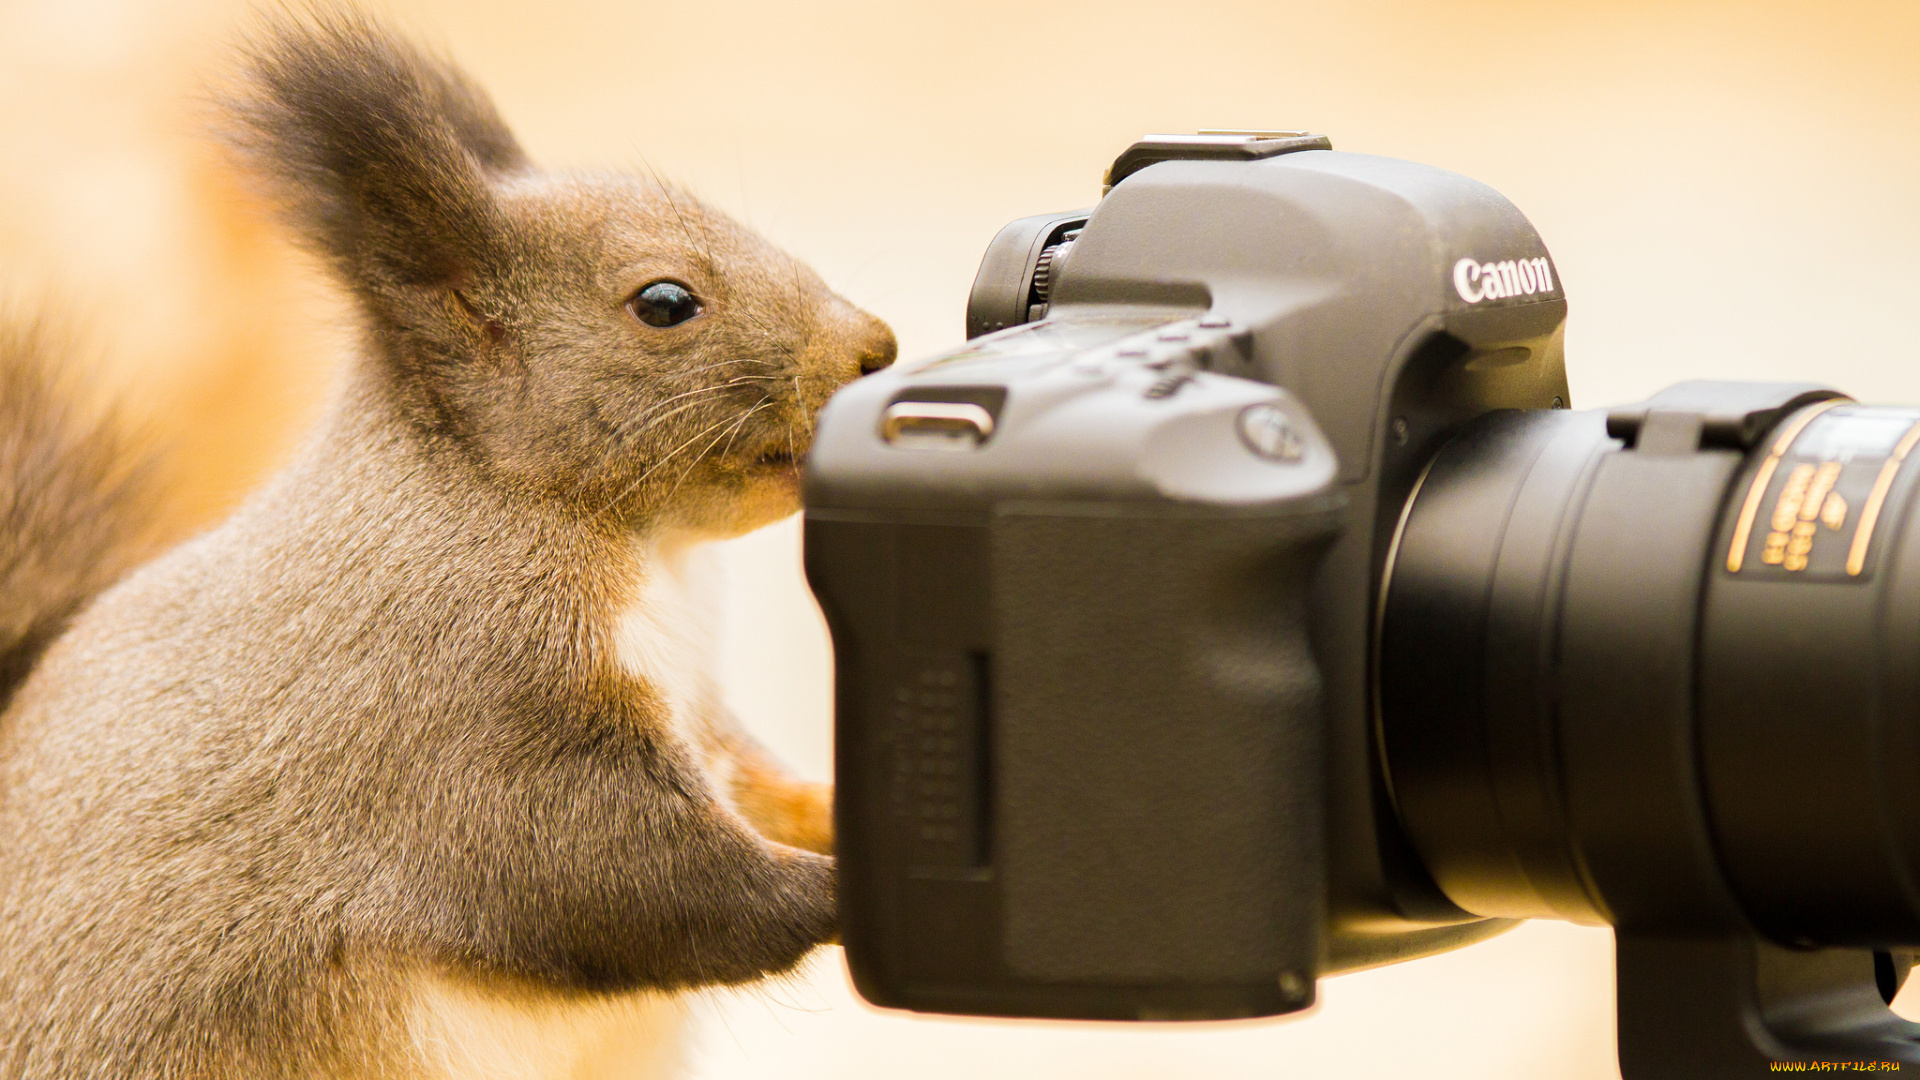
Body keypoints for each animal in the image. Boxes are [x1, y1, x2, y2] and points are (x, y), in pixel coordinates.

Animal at [0, 11, 893, 1079]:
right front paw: (835, 893)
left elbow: (754, 786)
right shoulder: (462, 715)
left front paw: (842, 811)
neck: (649, 553)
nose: (876, 348)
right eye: (665, 303)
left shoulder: (697, 711)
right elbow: (625, 877)